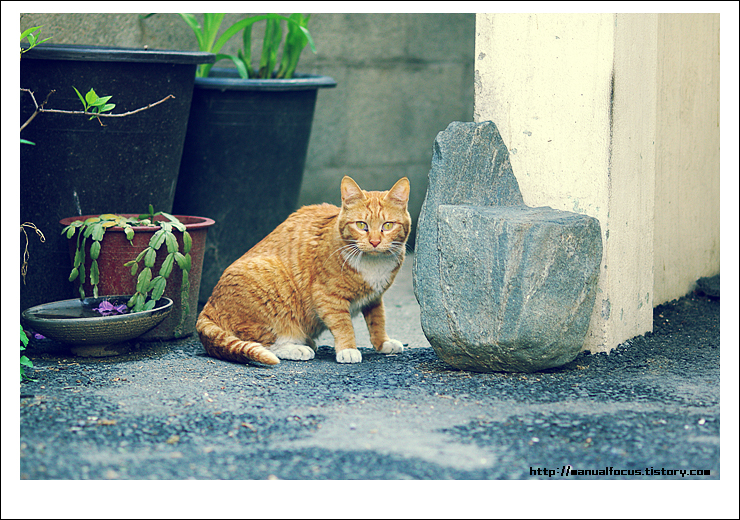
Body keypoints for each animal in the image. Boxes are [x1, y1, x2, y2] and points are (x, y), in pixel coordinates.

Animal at [197, 177, 414, 364]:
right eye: (361, 225)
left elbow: (378, 320)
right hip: (274, 286)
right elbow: (343, 325)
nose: (375, 242)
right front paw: (348, 349)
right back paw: (297, 348)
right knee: (263, 343)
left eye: (388, 225)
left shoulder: (374, 297)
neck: (373, 264)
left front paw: (383, 343)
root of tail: (208, 305)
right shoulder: (328, 297)